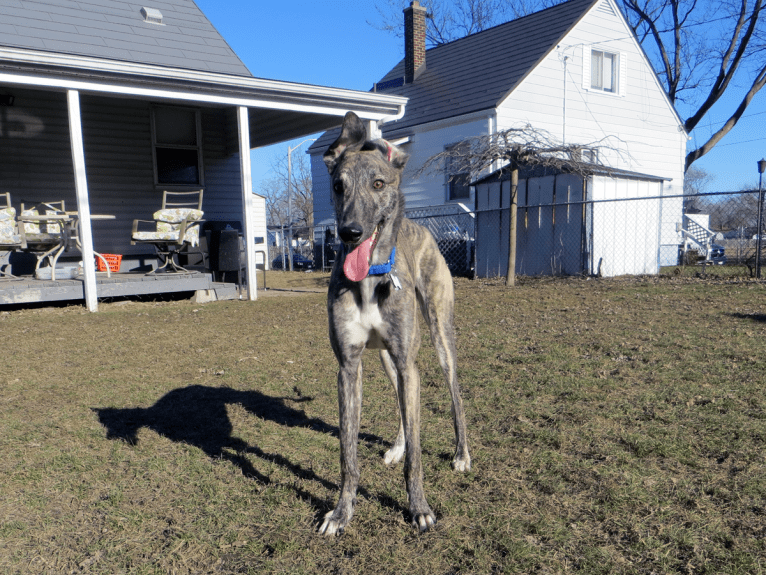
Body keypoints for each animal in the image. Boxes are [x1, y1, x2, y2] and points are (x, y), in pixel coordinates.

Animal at [320, 111, 474, 536]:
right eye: (337, 186)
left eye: (378, 183)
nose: (350, 232)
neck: (371, 277)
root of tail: (420, 228)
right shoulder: (349, 367)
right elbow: (348, 454)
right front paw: (341, 513)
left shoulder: (410, 363)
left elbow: (418, 456)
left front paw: (419, 508)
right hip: (389, 360)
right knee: (403, 407)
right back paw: (398, 446)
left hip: (438, 339)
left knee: (455, 395)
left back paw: (461, 453)